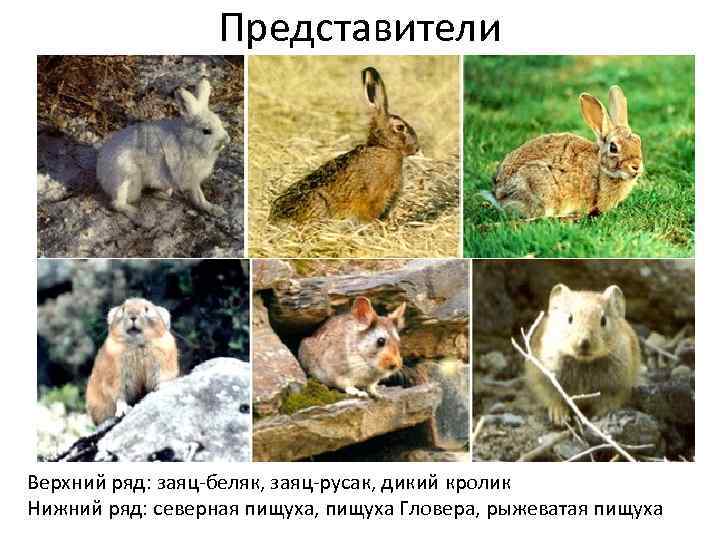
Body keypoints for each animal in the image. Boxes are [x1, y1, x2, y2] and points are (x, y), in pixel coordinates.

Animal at [96, 73, 230, 227]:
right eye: (206, 131)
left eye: (220, 123)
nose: (226, 140)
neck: (187, 139)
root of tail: (100, 173)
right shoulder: (190, 176)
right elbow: (197, 196)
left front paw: (216, 210)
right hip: (125, 178)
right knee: (117, 204)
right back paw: (139, 216)